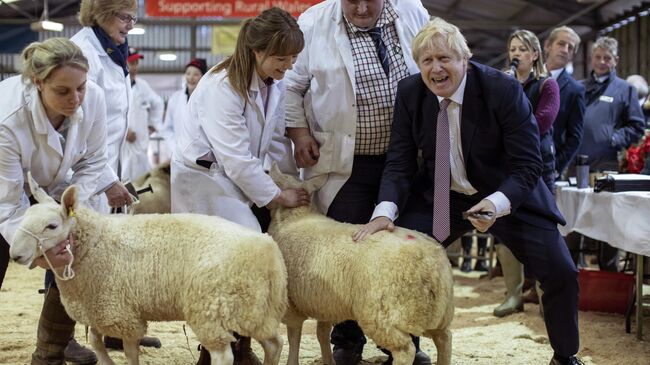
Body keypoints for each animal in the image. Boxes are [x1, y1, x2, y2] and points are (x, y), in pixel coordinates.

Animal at [8, 173, 288, 364]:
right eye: (24, 218)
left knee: (224, 355)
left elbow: (130, 353)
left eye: (51, 226)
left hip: (211, 310)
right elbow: (96, 342)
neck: (95, 243)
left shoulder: (122, 314)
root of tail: (268, 251)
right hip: (254, 311)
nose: (15, 254)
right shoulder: (99, 308)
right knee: (274, 343)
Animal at [266, 164, 454, 364]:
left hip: (382, 315)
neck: (296, 216)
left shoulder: (291, 304)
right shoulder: (325, 302)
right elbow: (321, 333)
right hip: (439, 314)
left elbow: (294, 336)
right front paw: (328, 360)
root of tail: (430, 263)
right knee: (445, 338)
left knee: (406, 349)